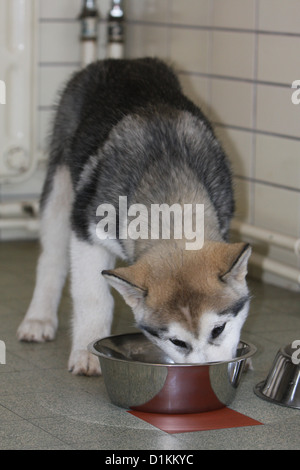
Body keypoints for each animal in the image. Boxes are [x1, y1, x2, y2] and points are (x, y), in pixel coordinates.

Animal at [17, 57, 251, 374]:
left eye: (218, 329)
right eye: (177, 342)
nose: (206, 374)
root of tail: (121, 60)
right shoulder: (86, 233)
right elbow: (93, 296)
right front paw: (87, 352)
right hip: (60, 187)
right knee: (51, 257)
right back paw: (38, 319)